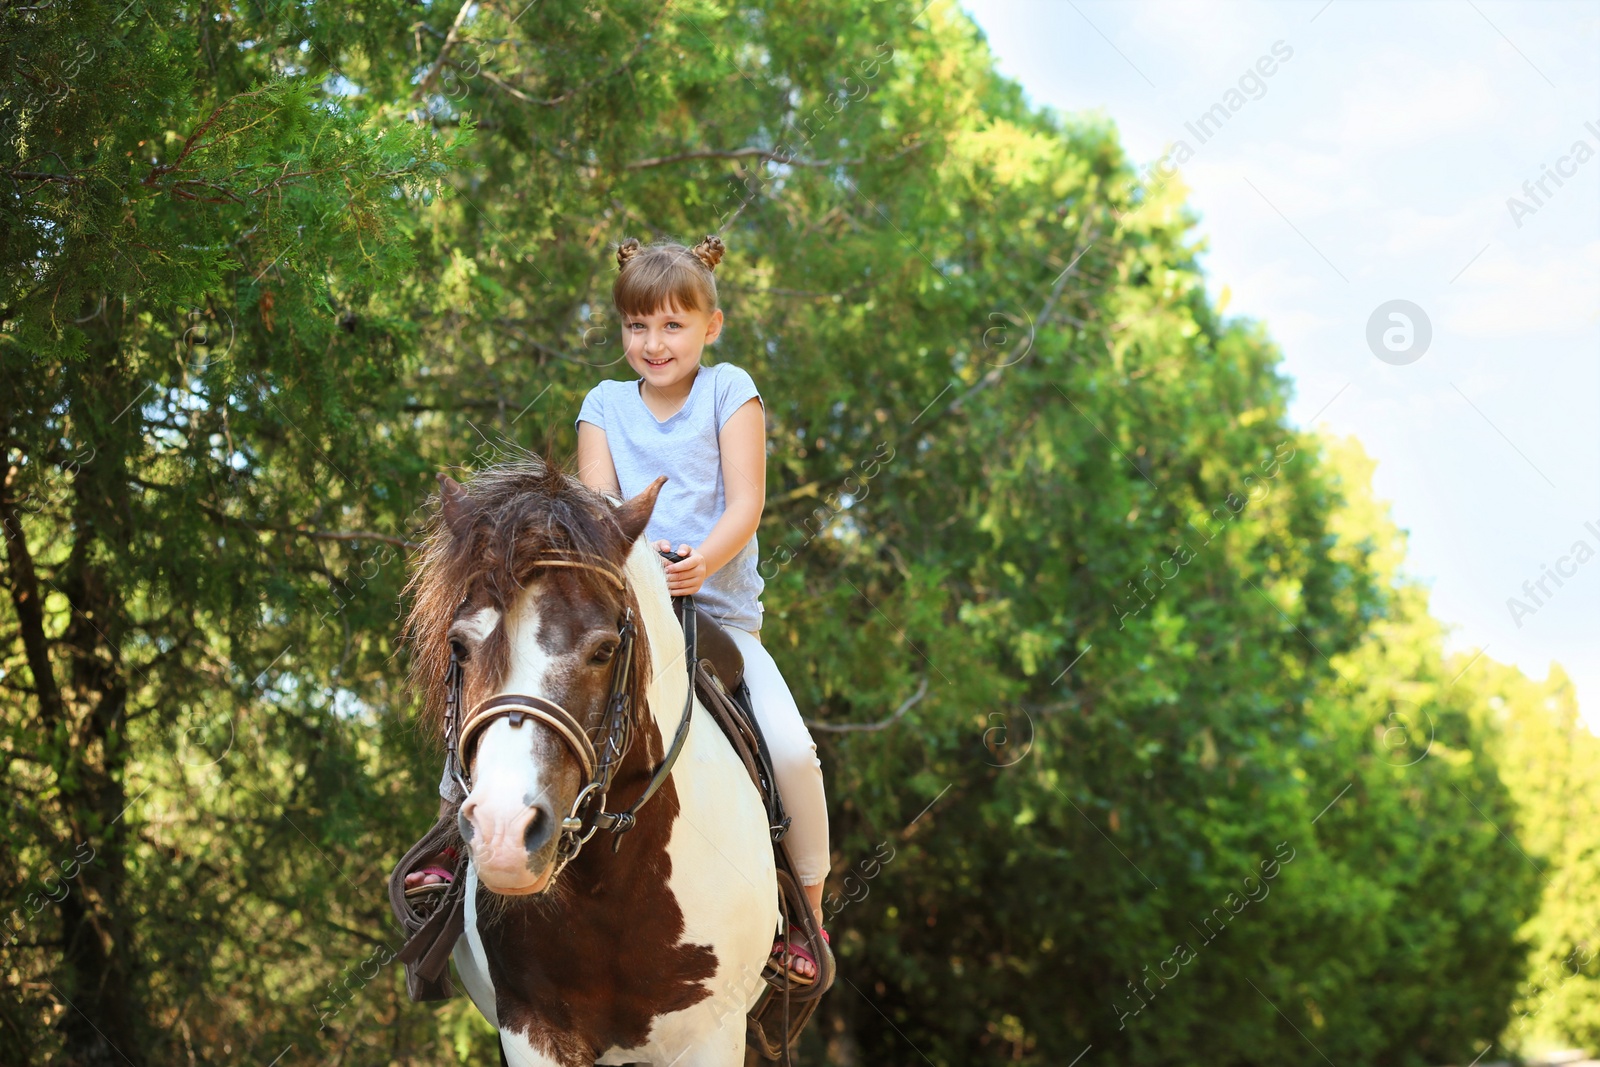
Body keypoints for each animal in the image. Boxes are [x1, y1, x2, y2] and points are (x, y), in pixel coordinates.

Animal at [406, 460, 780, 1067]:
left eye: (604, 650)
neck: (612, 885)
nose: (504, 834)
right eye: (459, 647)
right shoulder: (531, 1031)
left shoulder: (713, 1034)